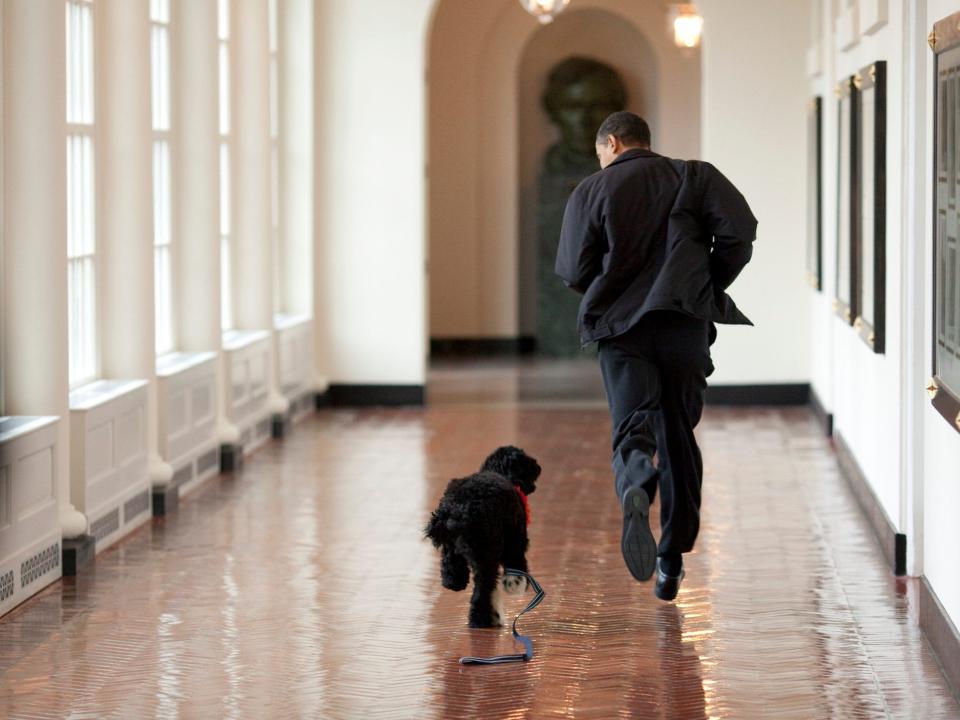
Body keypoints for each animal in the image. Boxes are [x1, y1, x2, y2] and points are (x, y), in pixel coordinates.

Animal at [426, 448, 544, 628]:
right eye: (527, 463)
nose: (538, 466)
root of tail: (456, 510)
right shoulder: (515, 541)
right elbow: (516, 568)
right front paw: (515, 585)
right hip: (487, 552)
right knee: (481, 591)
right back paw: (480, 619)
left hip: (456, 550)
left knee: (453, 571)